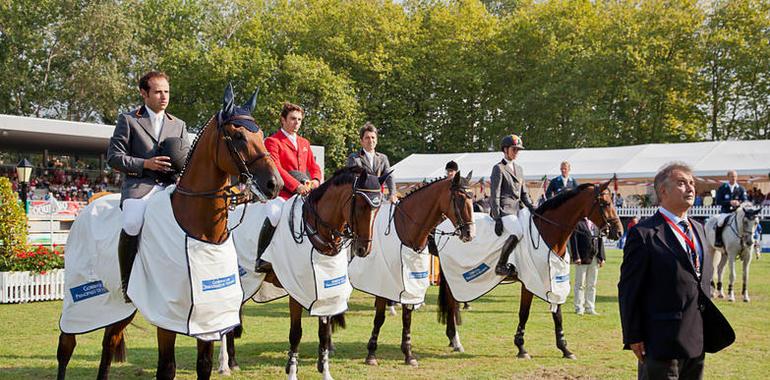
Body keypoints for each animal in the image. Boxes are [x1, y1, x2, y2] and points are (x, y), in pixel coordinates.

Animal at [56, 84, 282, 380]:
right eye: (238, 136)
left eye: (262, 135)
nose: (274, 184)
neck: (199, 230)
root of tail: (88, 206)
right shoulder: (166, 315)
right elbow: (167, 368)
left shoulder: (207, 316)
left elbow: (204, 365)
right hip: (81, 300)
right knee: (66, 346)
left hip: (118, 304)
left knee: (109, 342)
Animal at [352, 172, 476, 368]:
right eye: (459, 198)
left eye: (472, 198)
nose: (470, 233)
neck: (405, 228)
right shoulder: (382, 279)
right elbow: (379, 317)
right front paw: (371, 353)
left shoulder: (410, 278)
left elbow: (407, 317)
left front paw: (408, 354)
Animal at [436, 181, 620, 360]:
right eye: (605, 203)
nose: (618, 232)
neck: (547, 233)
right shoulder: (530, 281)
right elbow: (524, 313)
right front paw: (521, 348)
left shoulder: (552, 278)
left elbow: (557, 315)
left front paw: (565, 349)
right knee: (452, 303)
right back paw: (455, 340)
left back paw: (453, 340)